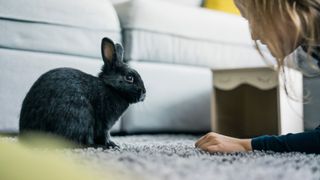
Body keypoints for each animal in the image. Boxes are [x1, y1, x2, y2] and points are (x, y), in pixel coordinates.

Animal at [18, 37, 146, 148]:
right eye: (129, 78)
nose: (144, 93)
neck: (111, 87)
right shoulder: (104, 122)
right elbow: (104, 134)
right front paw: (112, 145)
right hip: (81, 115)